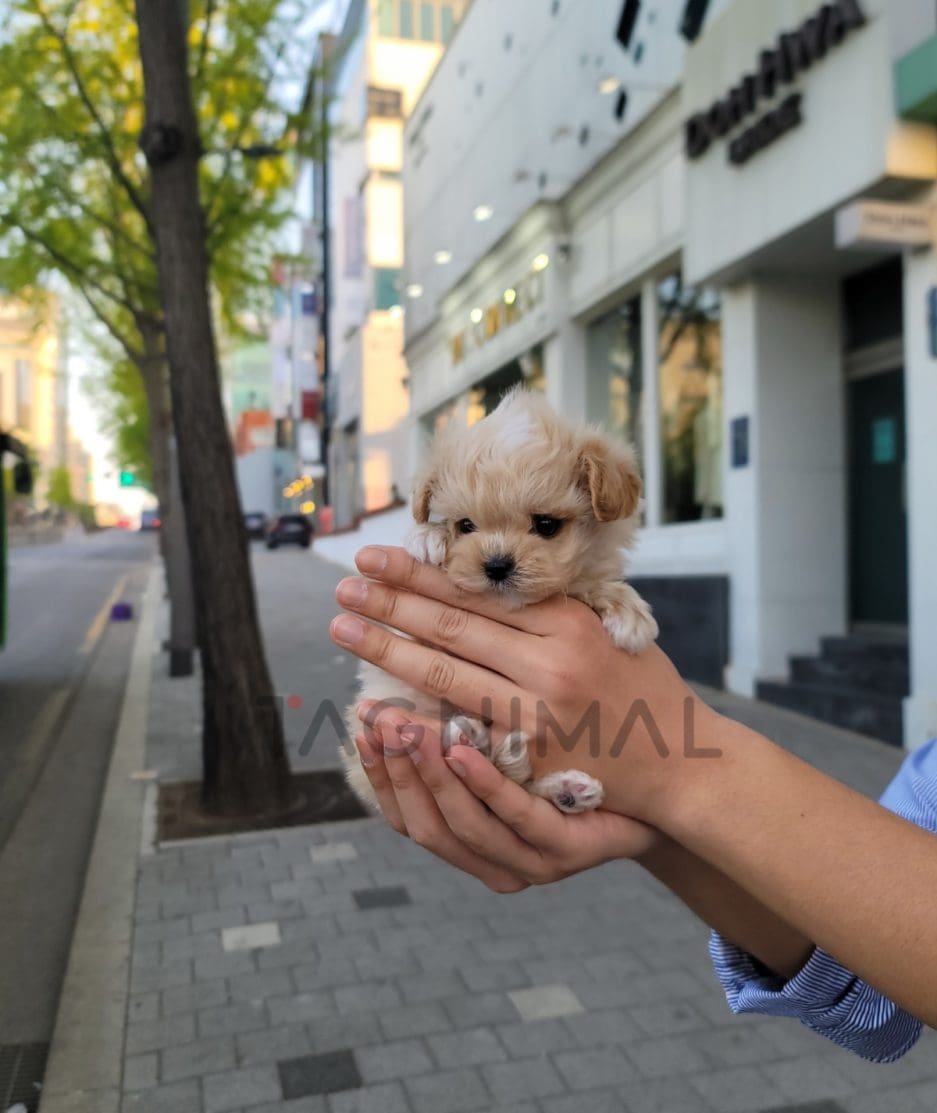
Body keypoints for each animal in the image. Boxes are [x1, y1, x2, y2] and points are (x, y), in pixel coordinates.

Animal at [340, 387, 654, 814]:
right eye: (465, 526)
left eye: (546, 525)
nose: (497, 564)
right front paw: (428, 537)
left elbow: (594, 583)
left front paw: (627, 611)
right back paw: (471, 740)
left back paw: (564, 789)